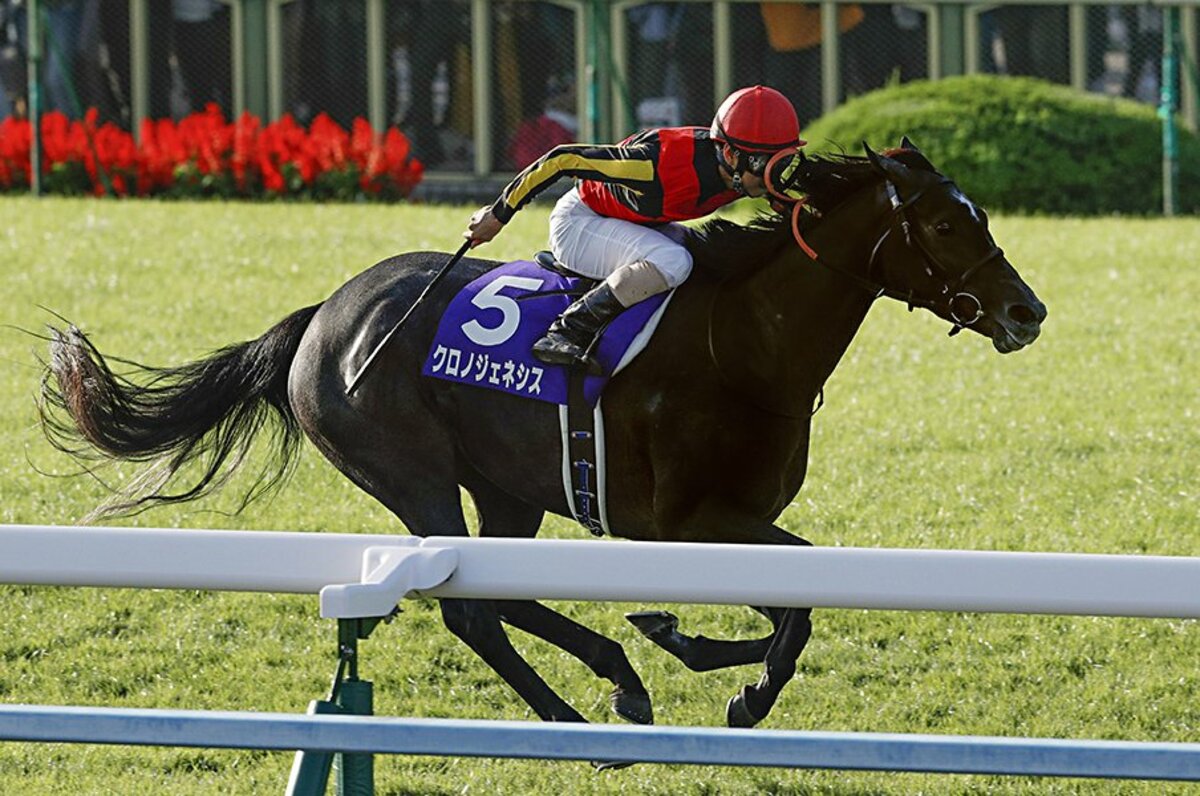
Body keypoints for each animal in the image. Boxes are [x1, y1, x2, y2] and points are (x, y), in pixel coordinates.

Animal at [40, 141, 1046, 732]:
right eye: (947, 222)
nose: (1026, 311)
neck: (747, 345)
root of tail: (322, 315)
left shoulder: (726, 526)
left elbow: (789, 608)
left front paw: (680, 639)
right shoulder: (682, 524)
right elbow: (793, 612)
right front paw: (739, 688)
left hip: (507, 486)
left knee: (499, 592)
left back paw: (619, 674)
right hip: (412, 474)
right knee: (471, 607)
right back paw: (584, 706)